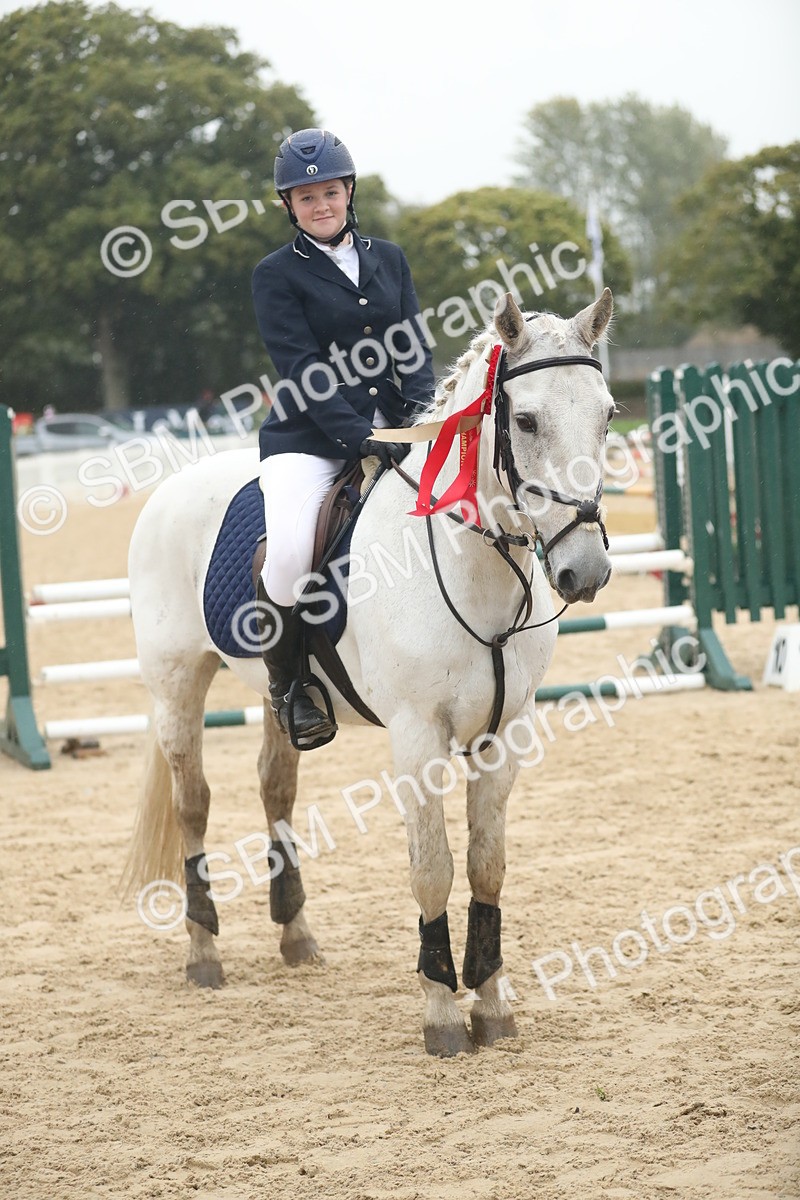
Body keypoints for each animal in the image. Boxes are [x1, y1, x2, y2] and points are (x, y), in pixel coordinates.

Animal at [122, 289, 615, 1056]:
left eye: (608, 414)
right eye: (526, 420)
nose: (584, 571)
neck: (470, 563)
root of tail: (175, 483)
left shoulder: (505, 733)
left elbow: (487, 864)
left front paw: (493, 1005)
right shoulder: (417, 738)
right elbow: (431, 868)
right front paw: (441, 1012)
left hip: (277, 699)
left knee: (275, 787)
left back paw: (296, 934)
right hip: (177, 683)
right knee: (193, 803)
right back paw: (204, 952)